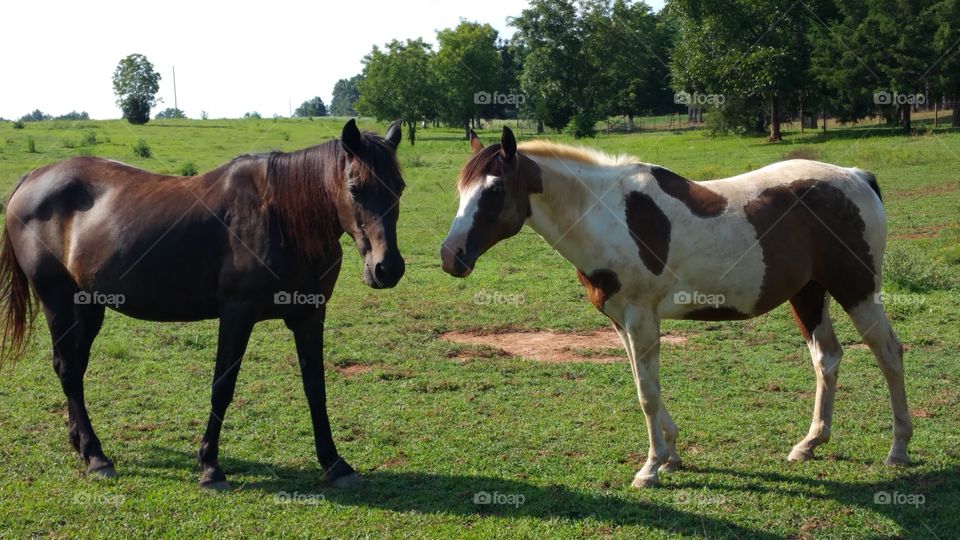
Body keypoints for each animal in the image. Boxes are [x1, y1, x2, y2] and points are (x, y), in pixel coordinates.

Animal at [0, 119, 406, 489]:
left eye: (399, 187)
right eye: (355, 187)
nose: (387, 268)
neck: (280, 216)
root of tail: (33, 178)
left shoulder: (309, 314)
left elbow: (315, 388)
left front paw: (334, 463)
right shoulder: (237, 314)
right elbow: (222, 387)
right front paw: (210, 466)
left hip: (88, 304)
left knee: (73, 367)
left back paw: (81, 444)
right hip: (57, 300)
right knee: (68, 369)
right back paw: (97, 456)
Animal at [440, 127, 911, 488]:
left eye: (495, 190)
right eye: (460, 189)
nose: (450, 256)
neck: (608, 215)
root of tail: (856, 176)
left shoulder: (642, 318)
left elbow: (647, 394)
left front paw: (649, 468)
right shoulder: (622, 323)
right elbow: (644, 384)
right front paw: (670, 455)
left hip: (857, 292)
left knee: (889, 354)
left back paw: (898, 449)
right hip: (809, 294)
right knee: (827, 358)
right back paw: (809, 444)